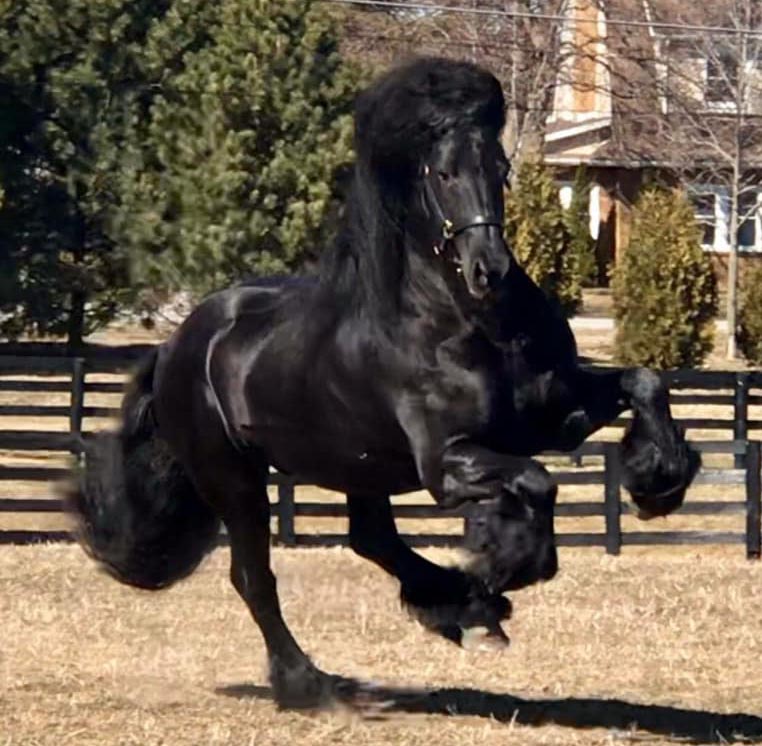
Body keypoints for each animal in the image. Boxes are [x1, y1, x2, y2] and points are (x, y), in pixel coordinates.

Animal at [68, 59, 696, 708]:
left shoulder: (553, 418)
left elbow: (644, 383)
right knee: (255, 577)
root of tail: (177, 346)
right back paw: (312, 682)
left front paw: (657, 481)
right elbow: (537, 482)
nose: (489, 270)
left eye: (500, 168)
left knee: (371, 540)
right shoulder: (446, 462)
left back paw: (462, 611)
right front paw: (507, 566)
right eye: (444, 172)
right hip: (234, 478)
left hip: (355, 466)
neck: (465, 322)